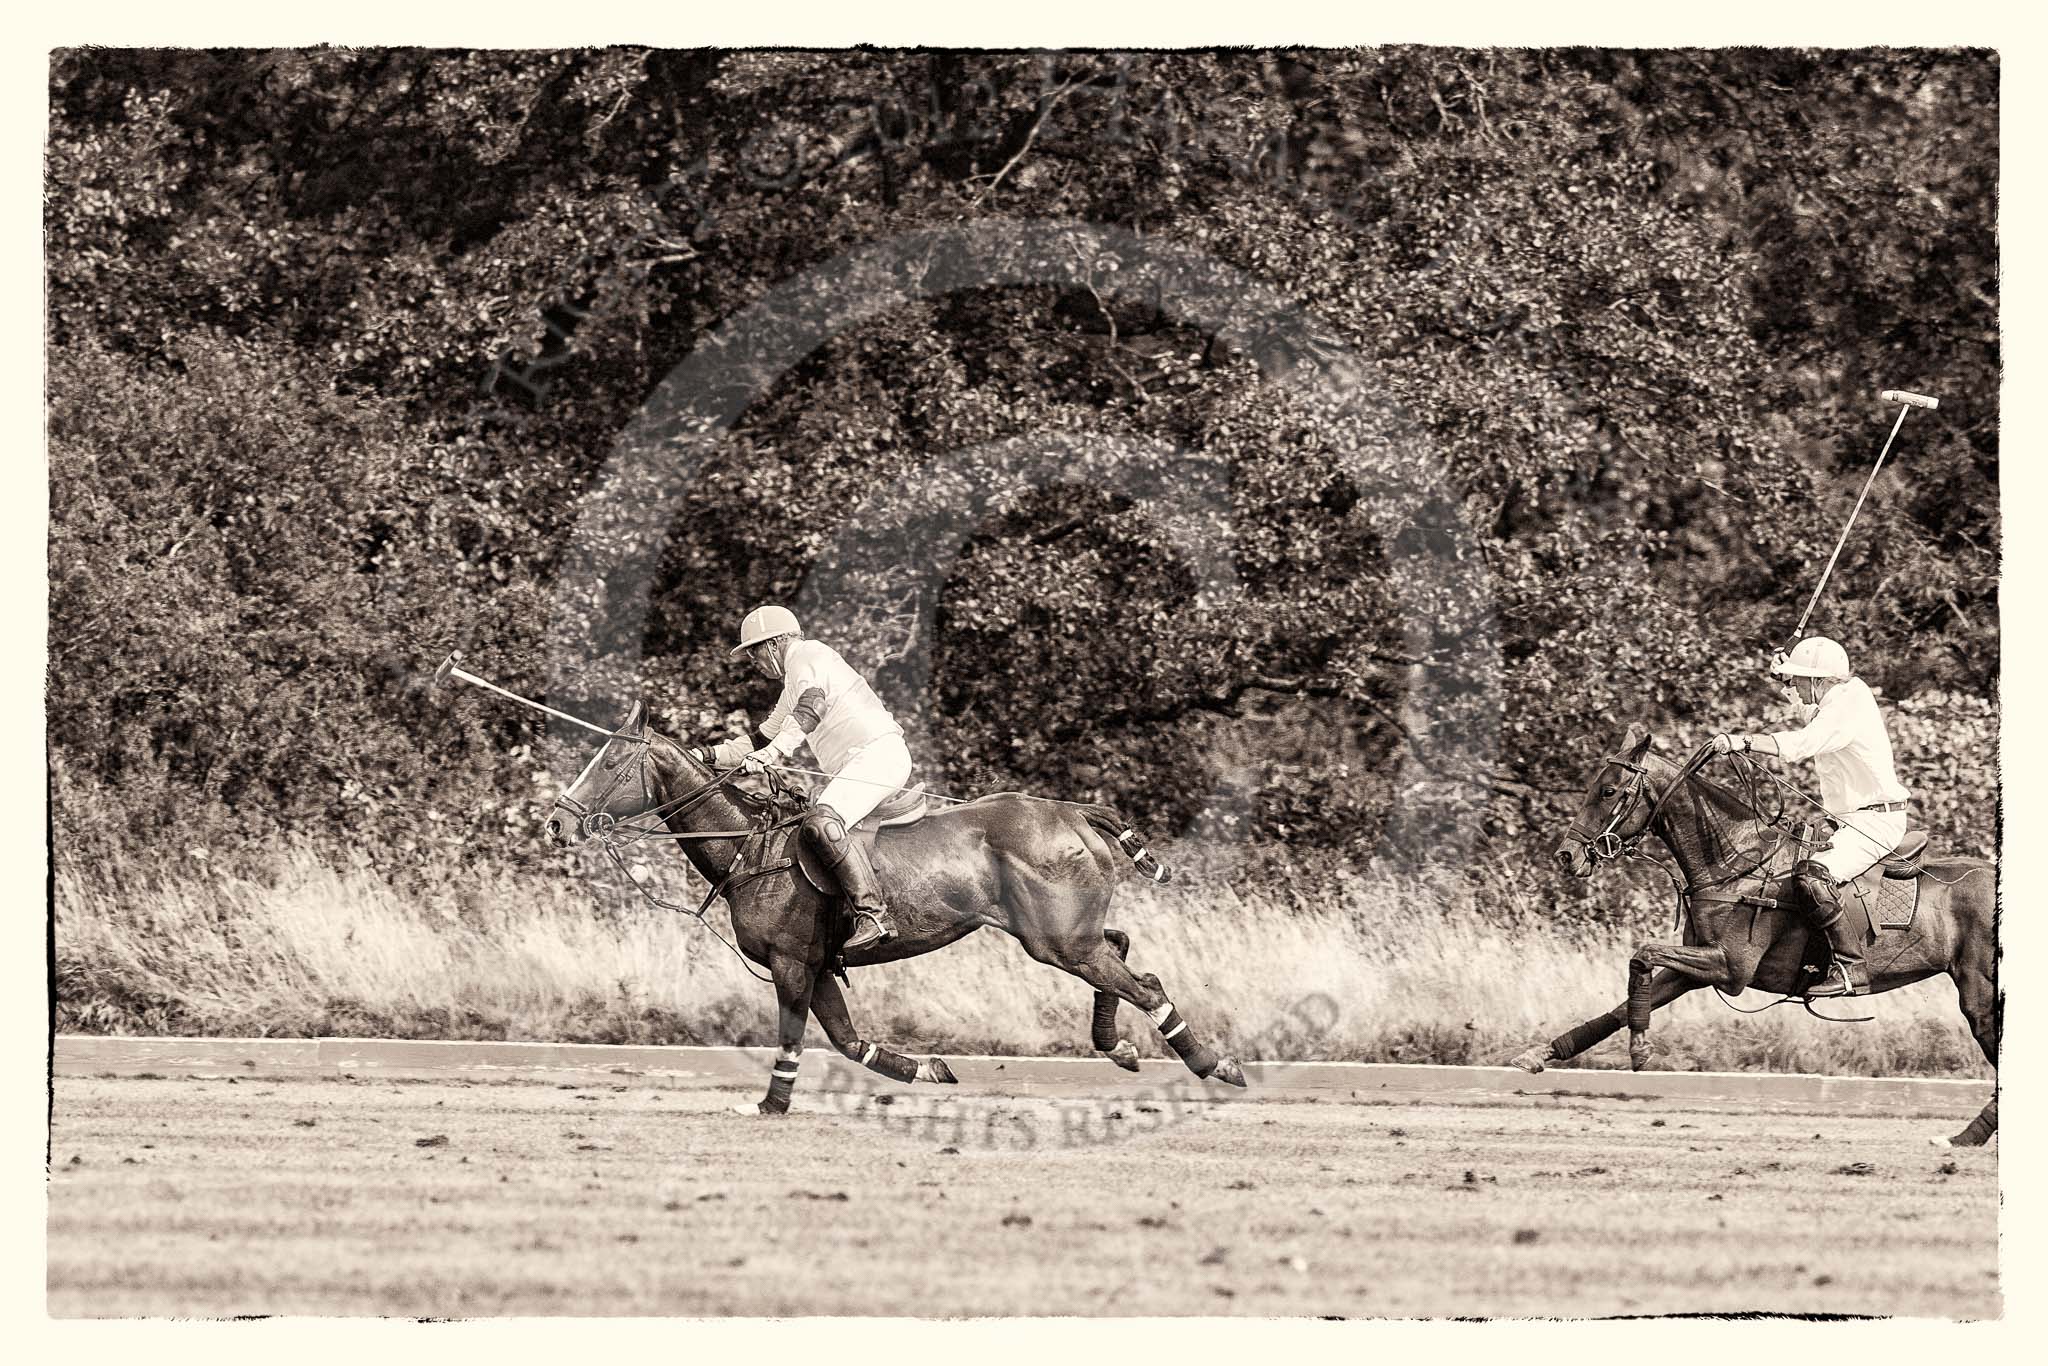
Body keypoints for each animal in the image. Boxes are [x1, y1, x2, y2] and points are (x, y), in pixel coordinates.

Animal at [540, 704, 1245, 1114]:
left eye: (609, 760)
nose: (555, 823)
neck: (750, 845)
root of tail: (1072, 811)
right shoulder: (819, 965)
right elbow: (849, 1042)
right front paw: (927, 1069)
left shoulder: (791, 963)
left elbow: (797, 1037)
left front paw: (771, 1105)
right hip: (1068, 932)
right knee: (1121, 951)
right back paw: (1118, 1047)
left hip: (1057, 940)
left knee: (1144, 983)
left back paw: (1213, 1064)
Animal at [1515, 720, 1990, 1146]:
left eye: (1609, 791)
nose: (1566, 856)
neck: (1734, 863)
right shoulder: (1695, 968)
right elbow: (1622, 1002)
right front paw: (1544, 1053)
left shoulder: (1730, 967)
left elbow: (1642, 954)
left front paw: (1639, 1049)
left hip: (1978, 989)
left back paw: (1965, 1136)